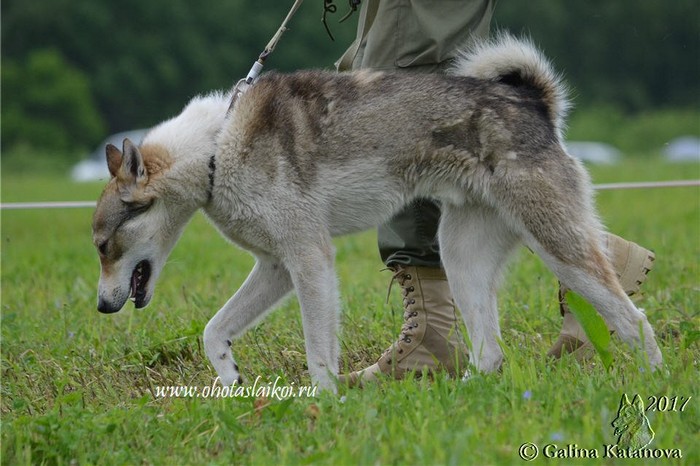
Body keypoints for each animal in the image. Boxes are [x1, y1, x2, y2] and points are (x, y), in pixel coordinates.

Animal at [92, 34, 662, 391]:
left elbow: (319, 352)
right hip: (462, 257)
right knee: (490, 352)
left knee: (633, 319)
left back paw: (655, 384)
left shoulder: (310, 260)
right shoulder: (277, 267)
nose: (100, 307)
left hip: (555, 242)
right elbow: (215, 330)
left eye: (103, 245)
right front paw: (230, 379)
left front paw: (323, 404)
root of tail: (533, 103)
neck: (216, 147)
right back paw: (462, 396)